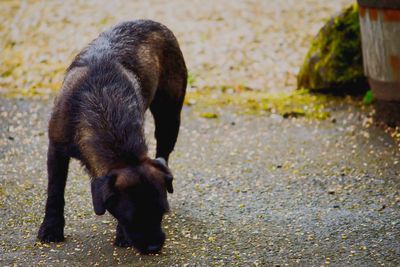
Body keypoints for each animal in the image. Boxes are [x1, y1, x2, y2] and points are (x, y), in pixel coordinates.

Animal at [37, 19, 188, 254]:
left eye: (162, 213)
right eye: (132, 219)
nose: (154, 247)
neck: (103, 109)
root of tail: (154, 23)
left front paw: (121, 236)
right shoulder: (56, 149)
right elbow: (55, 191)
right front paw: (51, 228)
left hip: (169, 117)